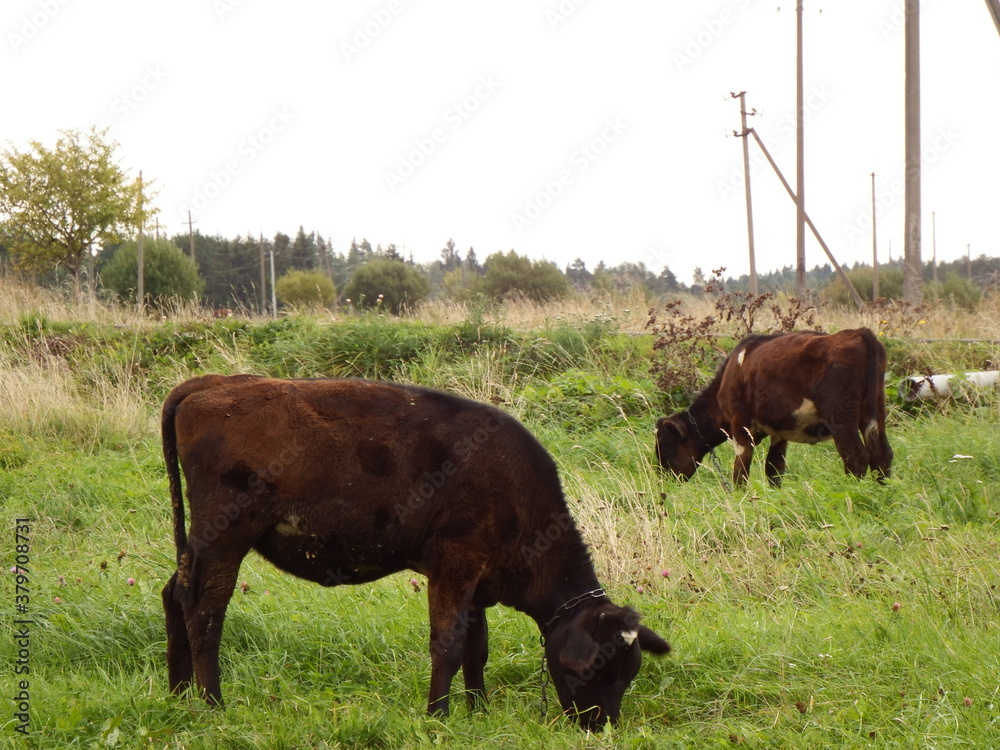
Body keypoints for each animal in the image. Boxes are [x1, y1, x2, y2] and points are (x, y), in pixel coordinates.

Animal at [160, 374, 668, 728]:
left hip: (198, 543)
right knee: (205, 611)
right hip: (225, 537)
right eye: (598, 670)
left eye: (629, 673)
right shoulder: (456, 562)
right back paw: (212, 704)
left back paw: (178, 695)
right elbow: (448, 644)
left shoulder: (477, 579)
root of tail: (215, 382)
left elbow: (476, 648)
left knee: (174, 595)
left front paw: (478, 713)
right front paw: (438, 717)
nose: (600, 727)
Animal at [652, 328, 896, 488]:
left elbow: (741, 470)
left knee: (855, 456)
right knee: (882, 453)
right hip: (876, 410)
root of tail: (858, 332)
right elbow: (774, 467)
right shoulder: (780, 429)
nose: (662, 477)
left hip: (840, 415)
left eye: (665, 445)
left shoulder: (740, 422)